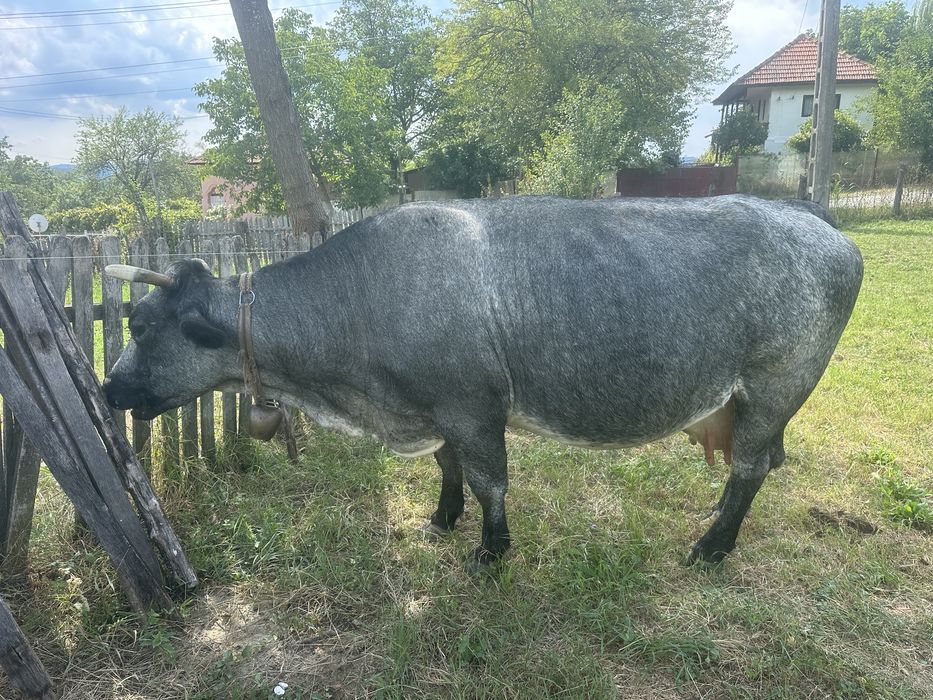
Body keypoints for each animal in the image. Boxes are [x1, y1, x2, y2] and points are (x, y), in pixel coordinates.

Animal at [103, 195, 863, 568]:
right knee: (752, 466)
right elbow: (447, 469)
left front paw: (490, 552)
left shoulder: (473, 405)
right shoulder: (434, 407)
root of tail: (821, 227)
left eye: (141, 325)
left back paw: (711, 547)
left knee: (750, 468)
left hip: (777, 383)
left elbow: (488, 480)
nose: (108, 391)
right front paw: (442, 519)